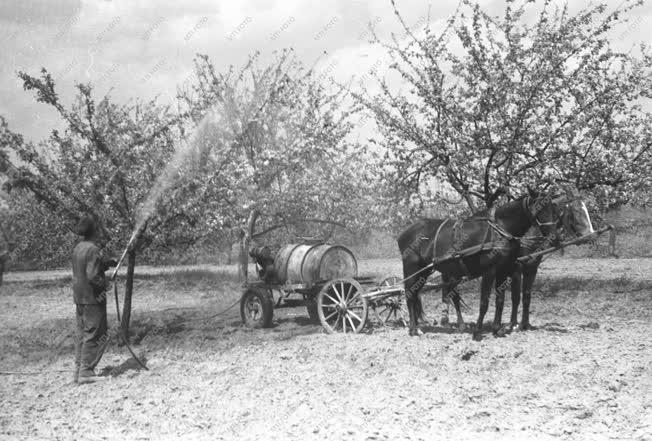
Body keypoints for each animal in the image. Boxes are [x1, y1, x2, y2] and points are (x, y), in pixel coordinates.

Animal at [398, 189, 560, 336]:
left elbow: (500, 300)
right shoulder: (490, 271)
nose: (555, 237)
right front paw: (478, 330)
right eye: (540, 208)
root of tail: (405, 232)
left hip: (424, 272)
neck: (501, 230)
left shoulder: (504, 271)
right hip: (412, 268)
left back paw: (420, 325)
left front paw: (497, 329)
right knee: (410, 295)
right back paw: (414, 329)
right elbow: (485, 302)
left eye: (554, 209)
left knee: (418, 295)